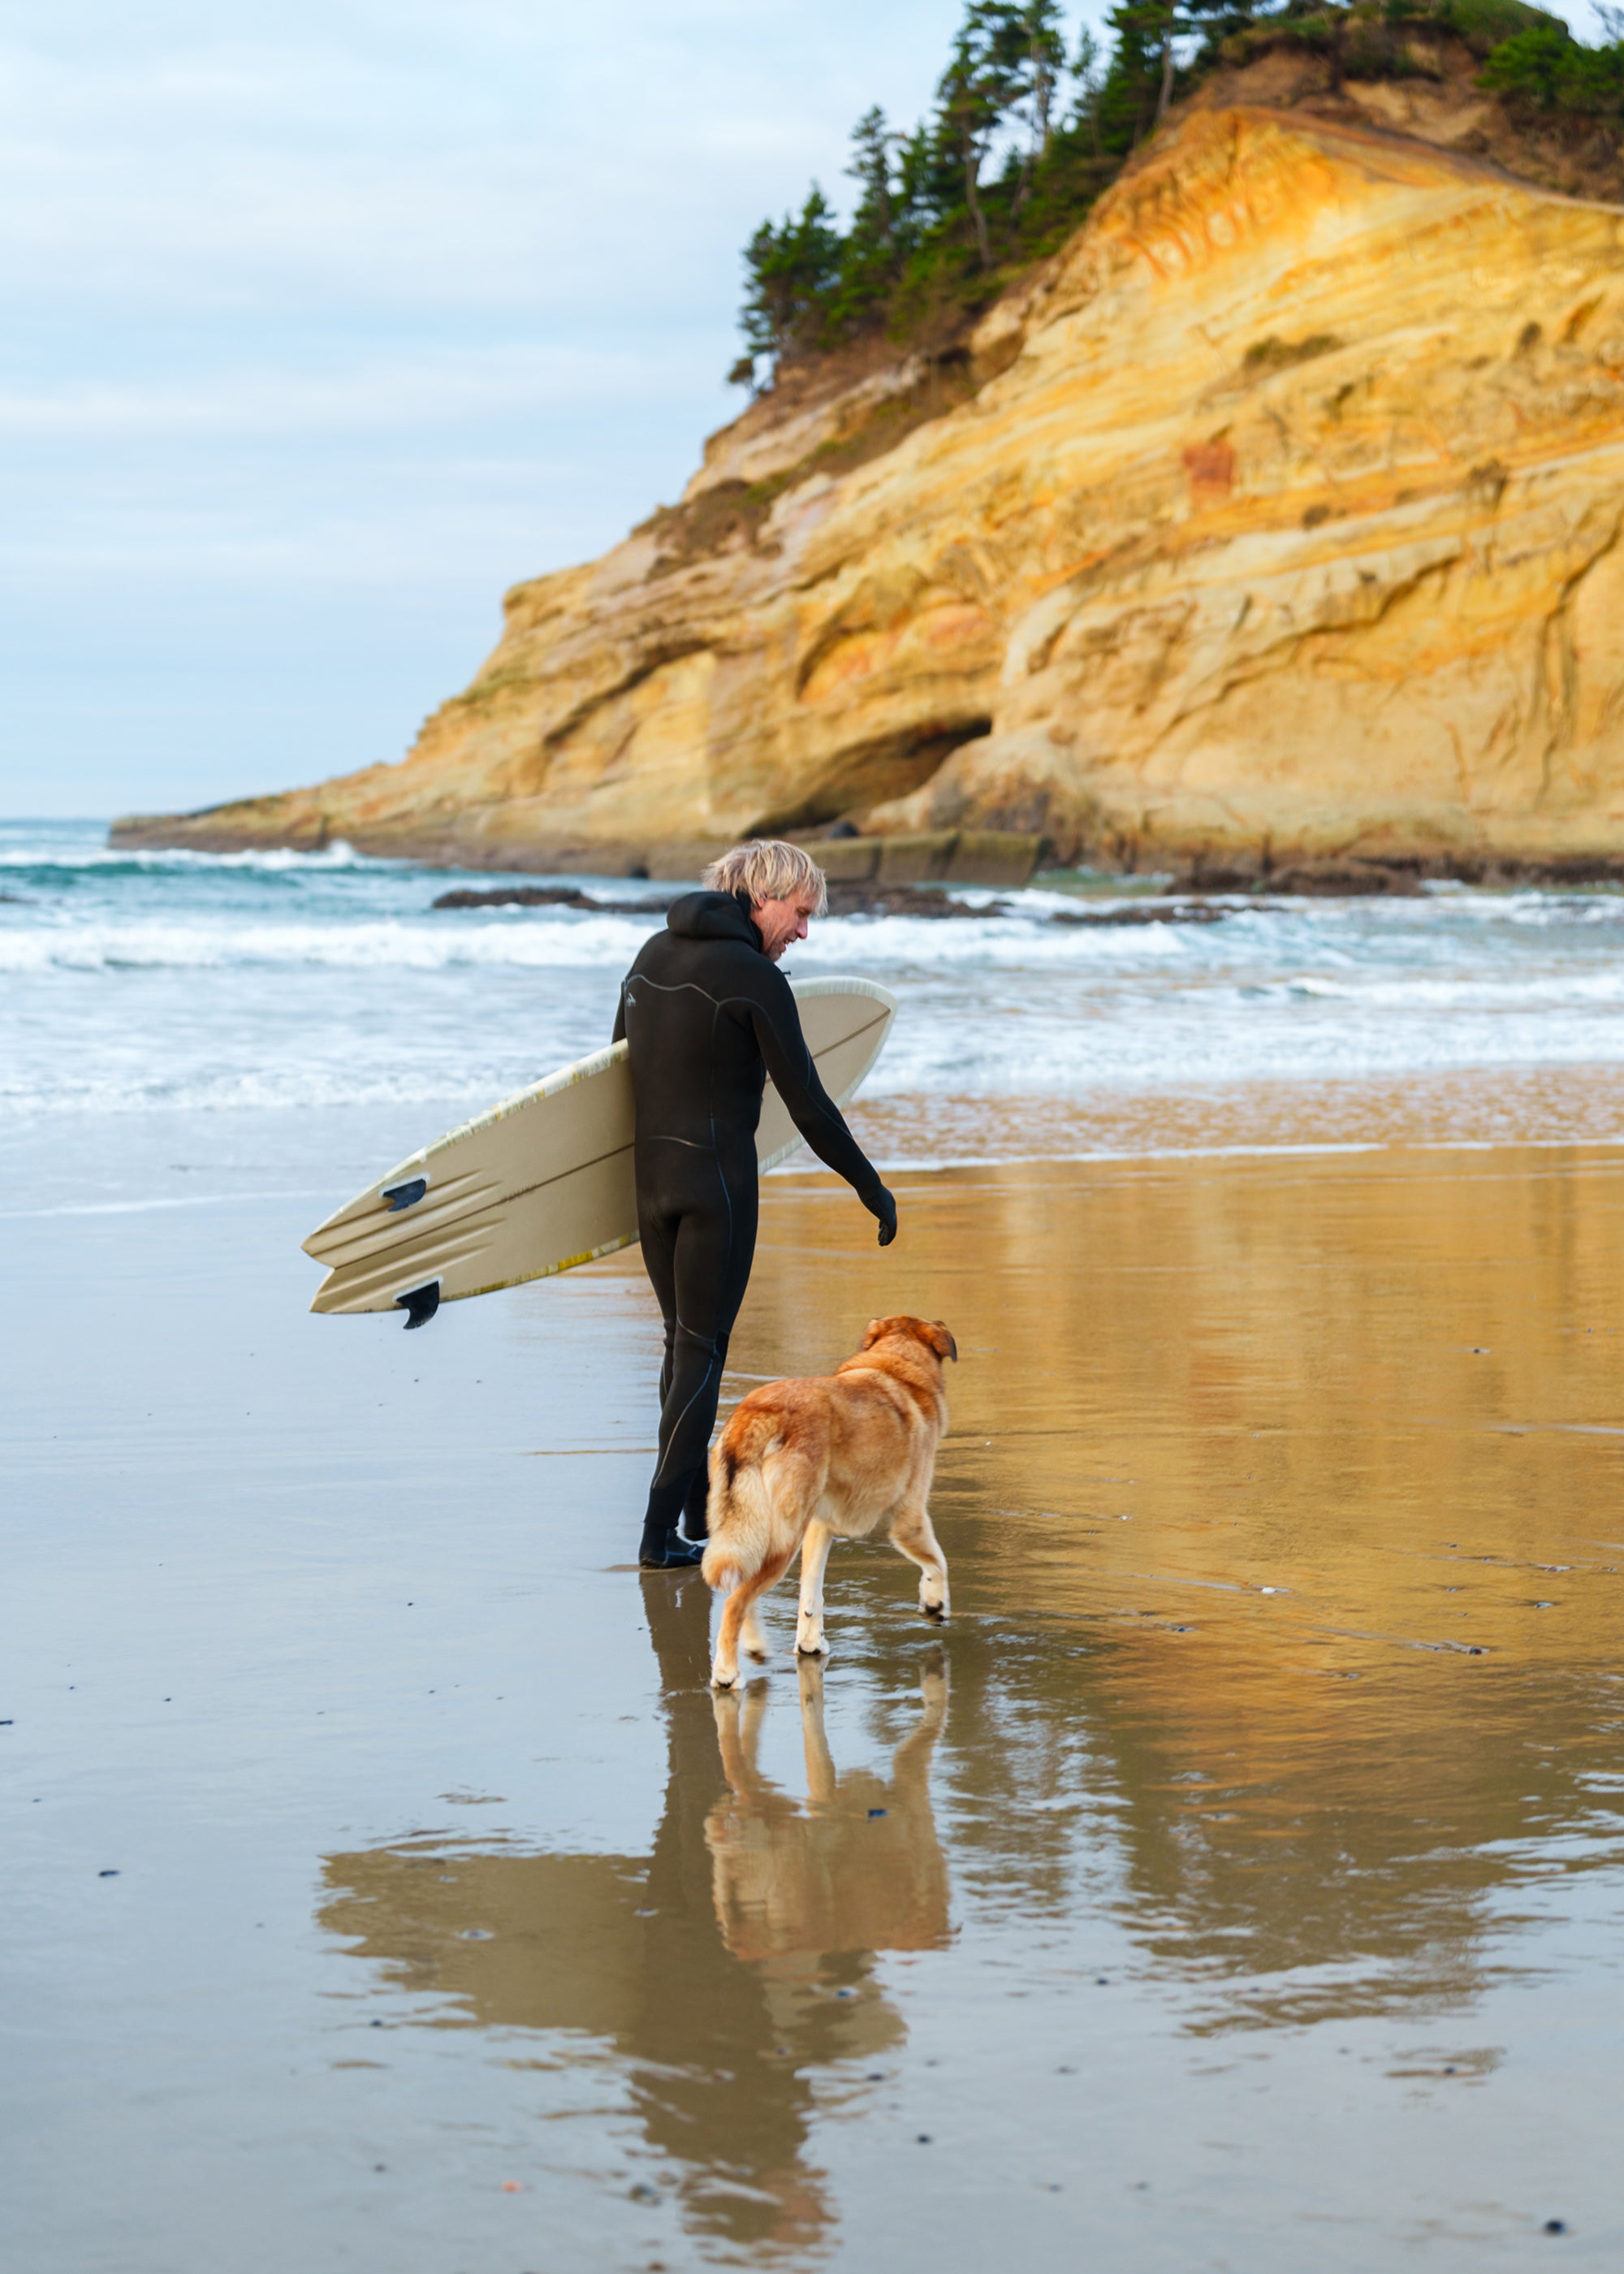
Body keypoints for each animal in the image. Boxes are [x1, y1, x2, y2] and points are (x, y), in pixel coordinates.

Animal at [696, 1319, 950, 1692]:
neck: (895, 1364)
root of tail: (758, 1415)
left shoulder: (819, 1526)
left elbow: (811, 1594)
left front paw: (810, 1644)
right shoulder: (910, 1517)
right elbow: (937, 1562)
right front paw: (935, 1604)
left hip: (749, 1528)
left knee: (741, 1587)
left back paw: (755, 1646)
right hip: (782, 1540)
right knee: (734, 1602)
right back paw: (727, 1673)